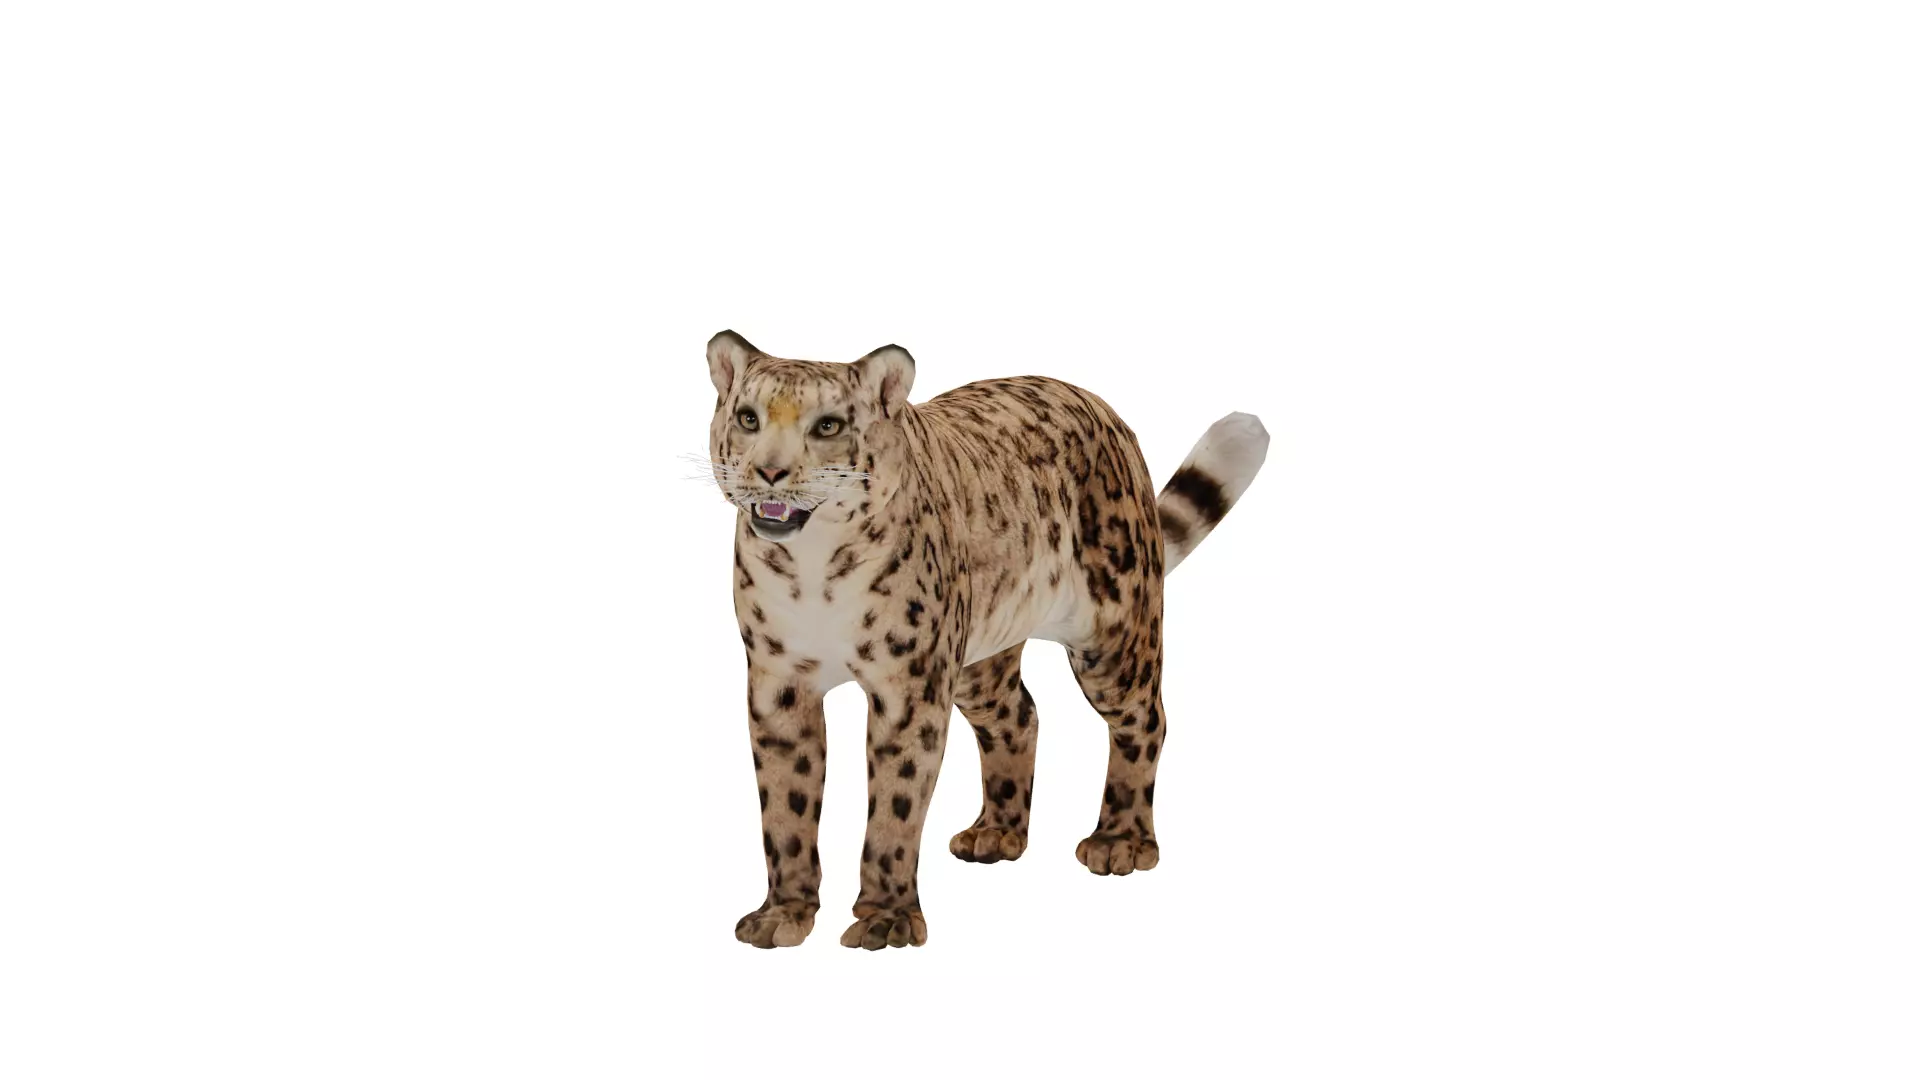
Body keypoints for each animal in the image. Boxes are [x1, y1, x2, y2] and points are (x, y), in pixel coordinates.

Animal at [700, 330, 1269, 949]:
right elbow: (785, 806)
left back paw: (1120, 839)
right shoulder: (779, 683)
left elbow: (896, 805)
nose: (768, 472)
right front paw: (783, 912)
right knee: (1019, 716)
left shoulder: (912, 687)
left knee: (1145, 719)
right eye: (748, 417)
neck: (811, 570)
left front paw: (885, 918)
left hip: (1115, 637)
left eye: (828, 425)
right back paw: (997, 831)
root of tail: (1098, 406)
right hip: (980, 663)